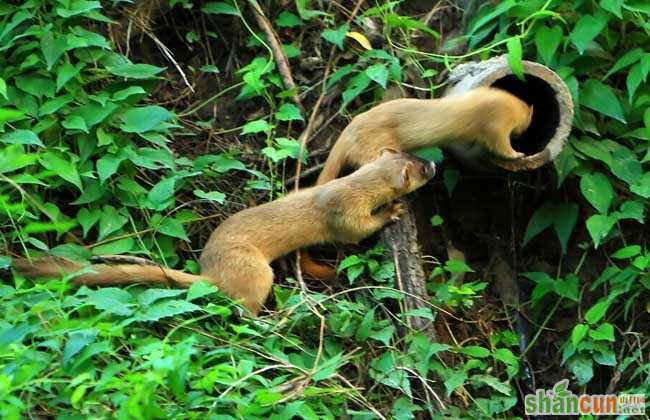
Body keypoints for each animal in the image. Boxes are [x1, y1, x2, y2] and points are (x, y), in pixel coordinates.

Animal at [11, 149, 436, 316]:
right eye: (420, 169)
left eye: (415, 155)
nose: (433, 163)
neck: (347, 187)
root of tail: (210, 272)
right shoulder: (344, 215)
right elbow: (354, 232)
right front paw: (393, 210)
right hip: (255, 271)